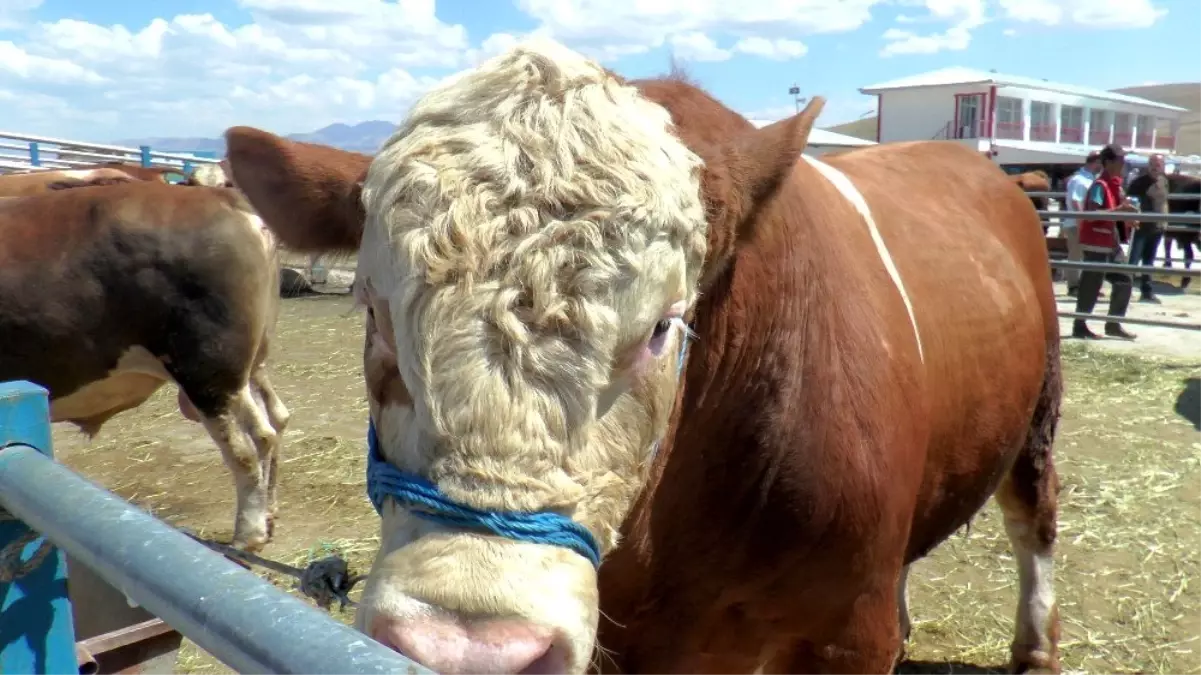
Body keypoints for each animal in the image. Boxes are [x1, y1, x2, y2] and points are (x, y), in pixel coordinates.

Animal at [0, 180, 289, 552]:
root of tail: (220, 195)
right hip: (241, 371)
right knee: (266, 431)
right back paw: (266, 518)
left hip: (208, 373)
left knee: (243, 451)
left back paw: (246, 537)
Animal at [223, 38, 1061, 672]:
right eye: (373, 307)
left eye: (662, 324)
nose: (470, 650)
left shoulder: (845, 635)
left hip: (1036, 414)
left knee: (1033, 517)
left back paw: (1035, 646)